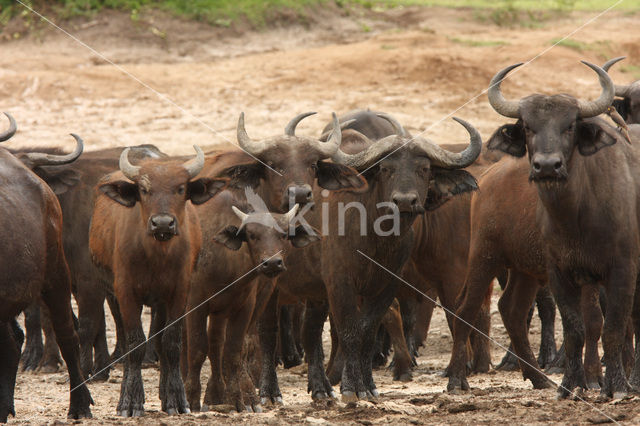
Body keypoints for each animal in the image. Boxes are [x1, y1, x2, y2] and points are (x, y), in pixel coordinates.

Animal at [90, 145, 228, 414]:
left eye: (181, 188)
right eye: (144, 190)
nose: (162, 223)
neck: (157, 256)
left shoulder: (178, 293)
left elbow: (171, 343)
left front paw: (177, 400)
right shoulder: (125, 293)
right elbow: (134, 344)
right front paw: (131, 402)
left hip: (160, 302)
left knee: (162, 344)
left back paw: (165, 395)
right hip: (112, 295)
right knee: (125, 342)